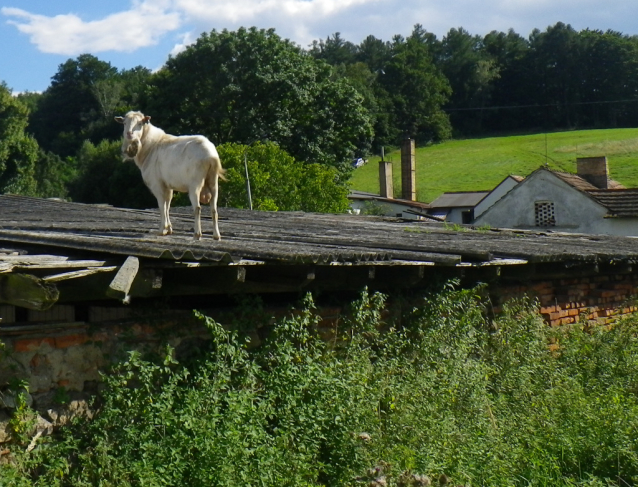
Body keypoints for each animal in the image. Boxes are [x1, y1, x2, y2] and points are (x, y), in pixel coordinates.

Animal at [116, 111, 226, 240]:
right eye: (124, 123)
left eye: (140, 123)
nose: (129, 134)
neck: (149, 147)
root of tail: (211, 156)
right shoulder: (167, 186)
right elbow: (167, 205)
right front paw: (168, 229)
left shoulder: (157, 184)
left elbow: (162, 206)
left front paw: (161, 230)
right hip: (213, 181)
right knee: (214, 209)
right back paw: (216, 235)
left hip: (195, 183)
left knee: (197, 208)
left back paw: (197, 234)